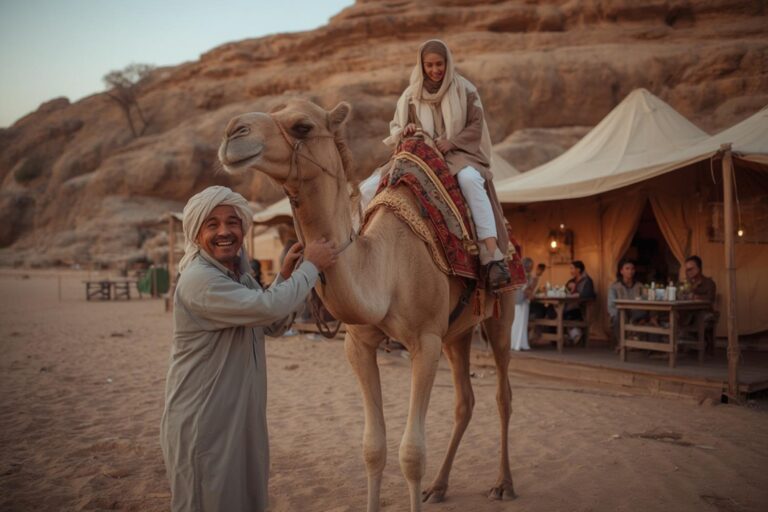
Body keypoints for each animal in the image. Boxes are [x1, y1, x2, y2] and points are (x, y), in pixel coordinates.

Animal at [218, 99, 516, 512]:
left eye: (302, 126)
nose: (233, 131)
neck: (387, 272)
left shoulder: (425, 341)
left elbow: (412, 453)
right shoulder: (358, 343)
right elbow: (373, 448)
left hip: (501, 315)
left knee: (503, 396)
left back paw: (503, 483)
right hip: (457, 333)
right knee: (464, 402)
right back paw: (439, 487)